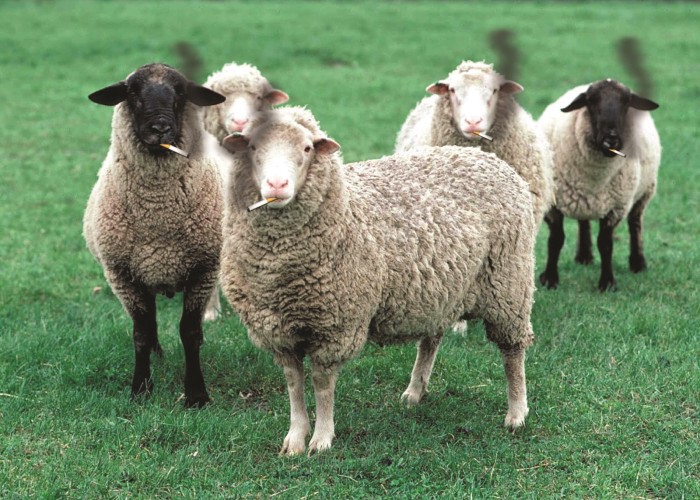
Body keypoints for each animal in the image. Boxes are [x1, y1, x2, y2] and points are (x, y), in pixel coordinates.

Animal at [84, 63, 226, 407]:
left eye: (181, 92)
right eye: (132, 91)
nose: (160, 127)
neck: (157, 215)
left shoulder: (203, 269)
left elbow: (190, 332)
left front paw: (197, 394)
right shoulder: (123, 275)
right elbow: (141, 333)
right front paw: (140, 389)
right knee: (151, 324)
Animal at [219, 106, 536, 455]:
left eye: (306, 148)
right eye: (252, 147)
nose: (277, 184)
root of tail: (485, 157)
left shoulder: (336, 325)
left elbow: (322, 385)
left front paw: (321, 439)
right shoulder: (277, 331)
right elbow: (294, 383)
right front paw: (295, 437)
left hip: (508, 283)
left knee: (513, 352)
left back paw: (517, 412)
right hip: (440, 288)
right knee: (431, 339)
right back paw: (415, 391)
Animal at [537, 79, 661, 292]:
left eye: (626, 102)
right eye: (590, 101)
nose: (611, 138)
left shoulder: (617, 207)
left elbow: (605, 244)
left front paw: (607, 283)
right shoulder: (553, 203)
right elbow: (556, 239)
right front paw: (549, 279)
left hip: (645, 191)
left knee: (635, 223)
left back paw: (637, 263)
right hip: (582, 198)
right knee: (583, 221)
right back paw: (584, 256)